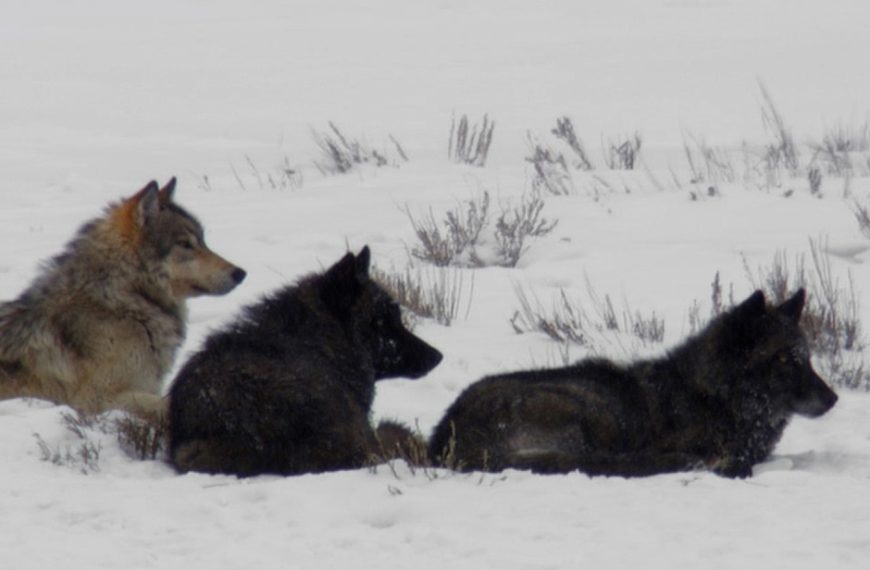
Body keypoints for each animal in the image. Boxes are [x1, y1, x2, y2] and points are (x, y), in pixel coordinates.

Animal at [0, 180, 247, 414]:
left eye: (203, 241)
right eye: (185, 244)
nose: (240, 273)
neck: (124, 301)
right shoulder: (95, 400)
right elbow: (164, 405)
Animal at [432, 286, 840, 478]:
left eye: (808, 358)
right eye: (783, 359)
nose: (833, 399)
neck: (712, 396)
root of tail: (446, 431)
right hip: (585, 409)